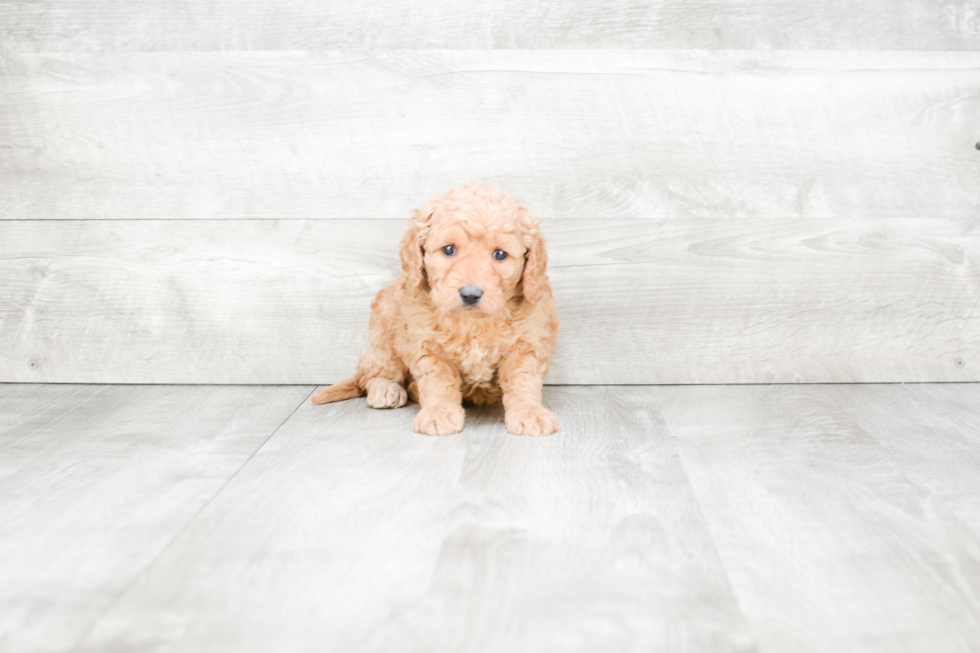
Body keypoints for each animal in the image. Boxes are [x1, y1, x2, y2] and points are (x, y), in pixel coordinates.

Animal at [314, 181, 560, 436]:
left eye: (500, 254)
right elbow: (438, 382)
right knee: (373, 374)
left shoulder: (526, 344)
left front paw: (529, 412)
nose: (470, 294)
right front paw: (439, 413)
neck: (473, 323)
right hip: (383, 332)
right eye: (449, 249)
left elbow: (523, 381)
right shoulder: (428, 346)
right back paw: (386, 389)